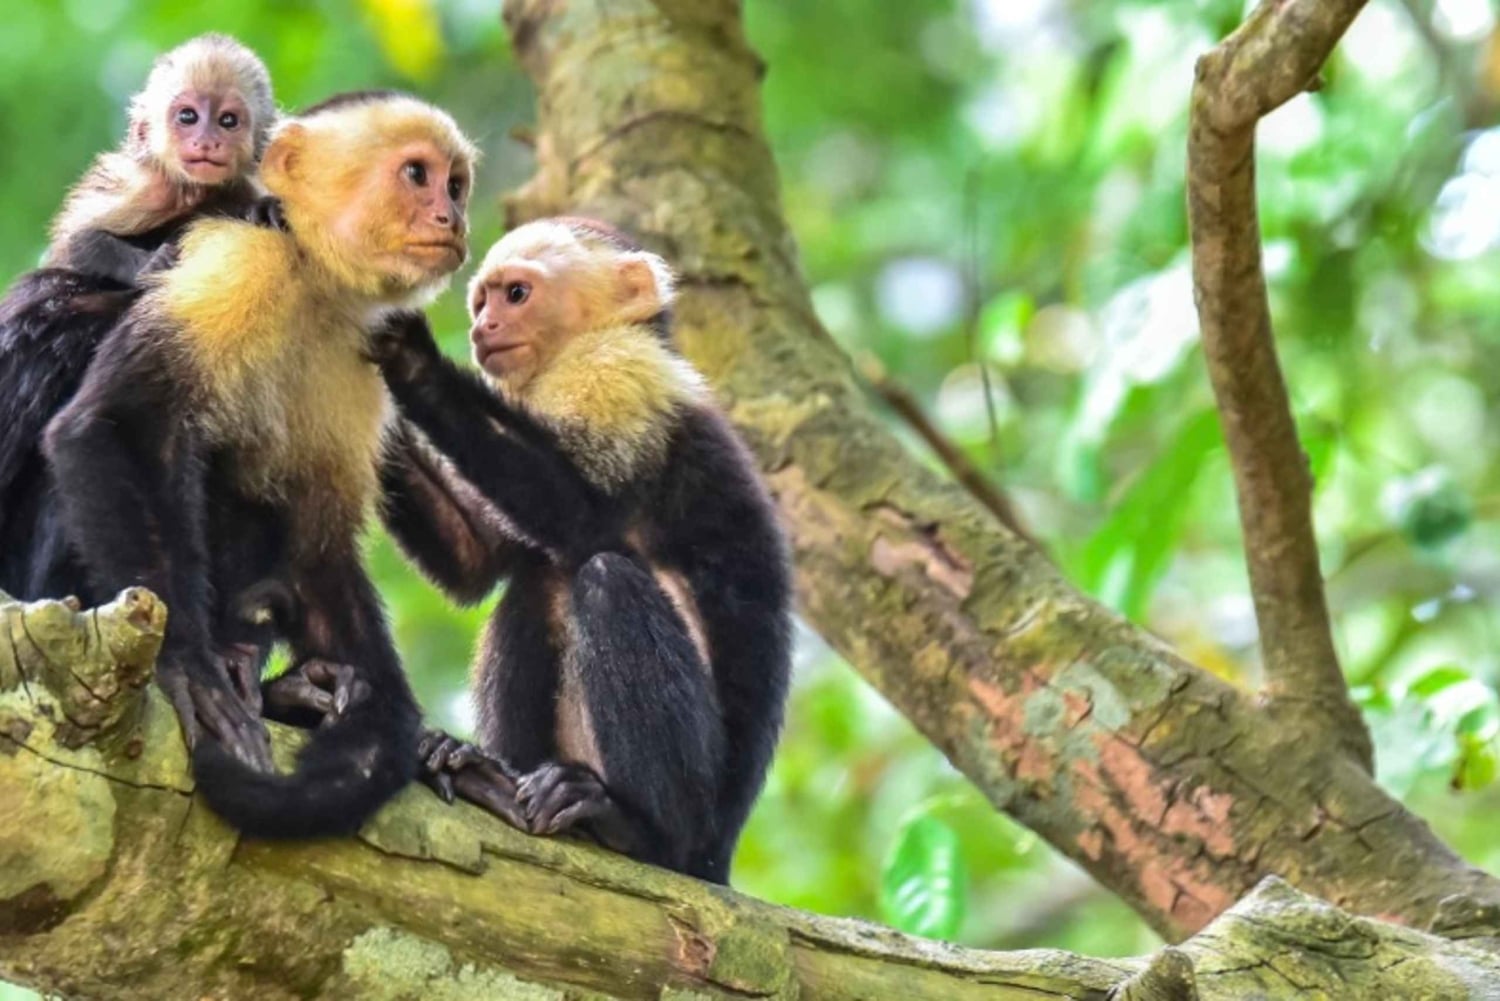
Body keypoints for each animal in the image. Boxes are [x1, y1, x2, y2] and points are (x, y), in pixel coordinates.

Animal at [5, 90, 479, 837]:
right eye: (416, 175)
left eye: (455, 185)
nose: (451, 217)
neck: (308, 273)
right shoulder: (235, 262)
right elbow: (111, 425)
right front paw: (185, 666)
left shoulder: (361, 353)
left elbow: (315, 548)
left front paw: (389, 730)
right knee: (77, 326)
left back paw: (284, 687)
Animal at [45, 34, 280, 286]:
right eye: (188, 116)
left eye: (228, 120)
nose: (206, 142)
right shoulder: (149, 190)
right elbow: (77, 242)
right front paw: (151, 264)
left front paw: (264, 208)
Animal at [367, 218, 793, 882]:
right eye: (481, 301)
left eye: (515, 295)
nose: (481, 328)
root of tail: (718, 856)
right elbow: (475, 560)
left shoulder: (618, 373)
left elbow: (580, 513)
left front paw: (410, 357)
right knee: (536, 585)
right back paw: (489, 775)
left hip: (699, 818)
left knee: (602, 578)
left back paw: (632, 828)